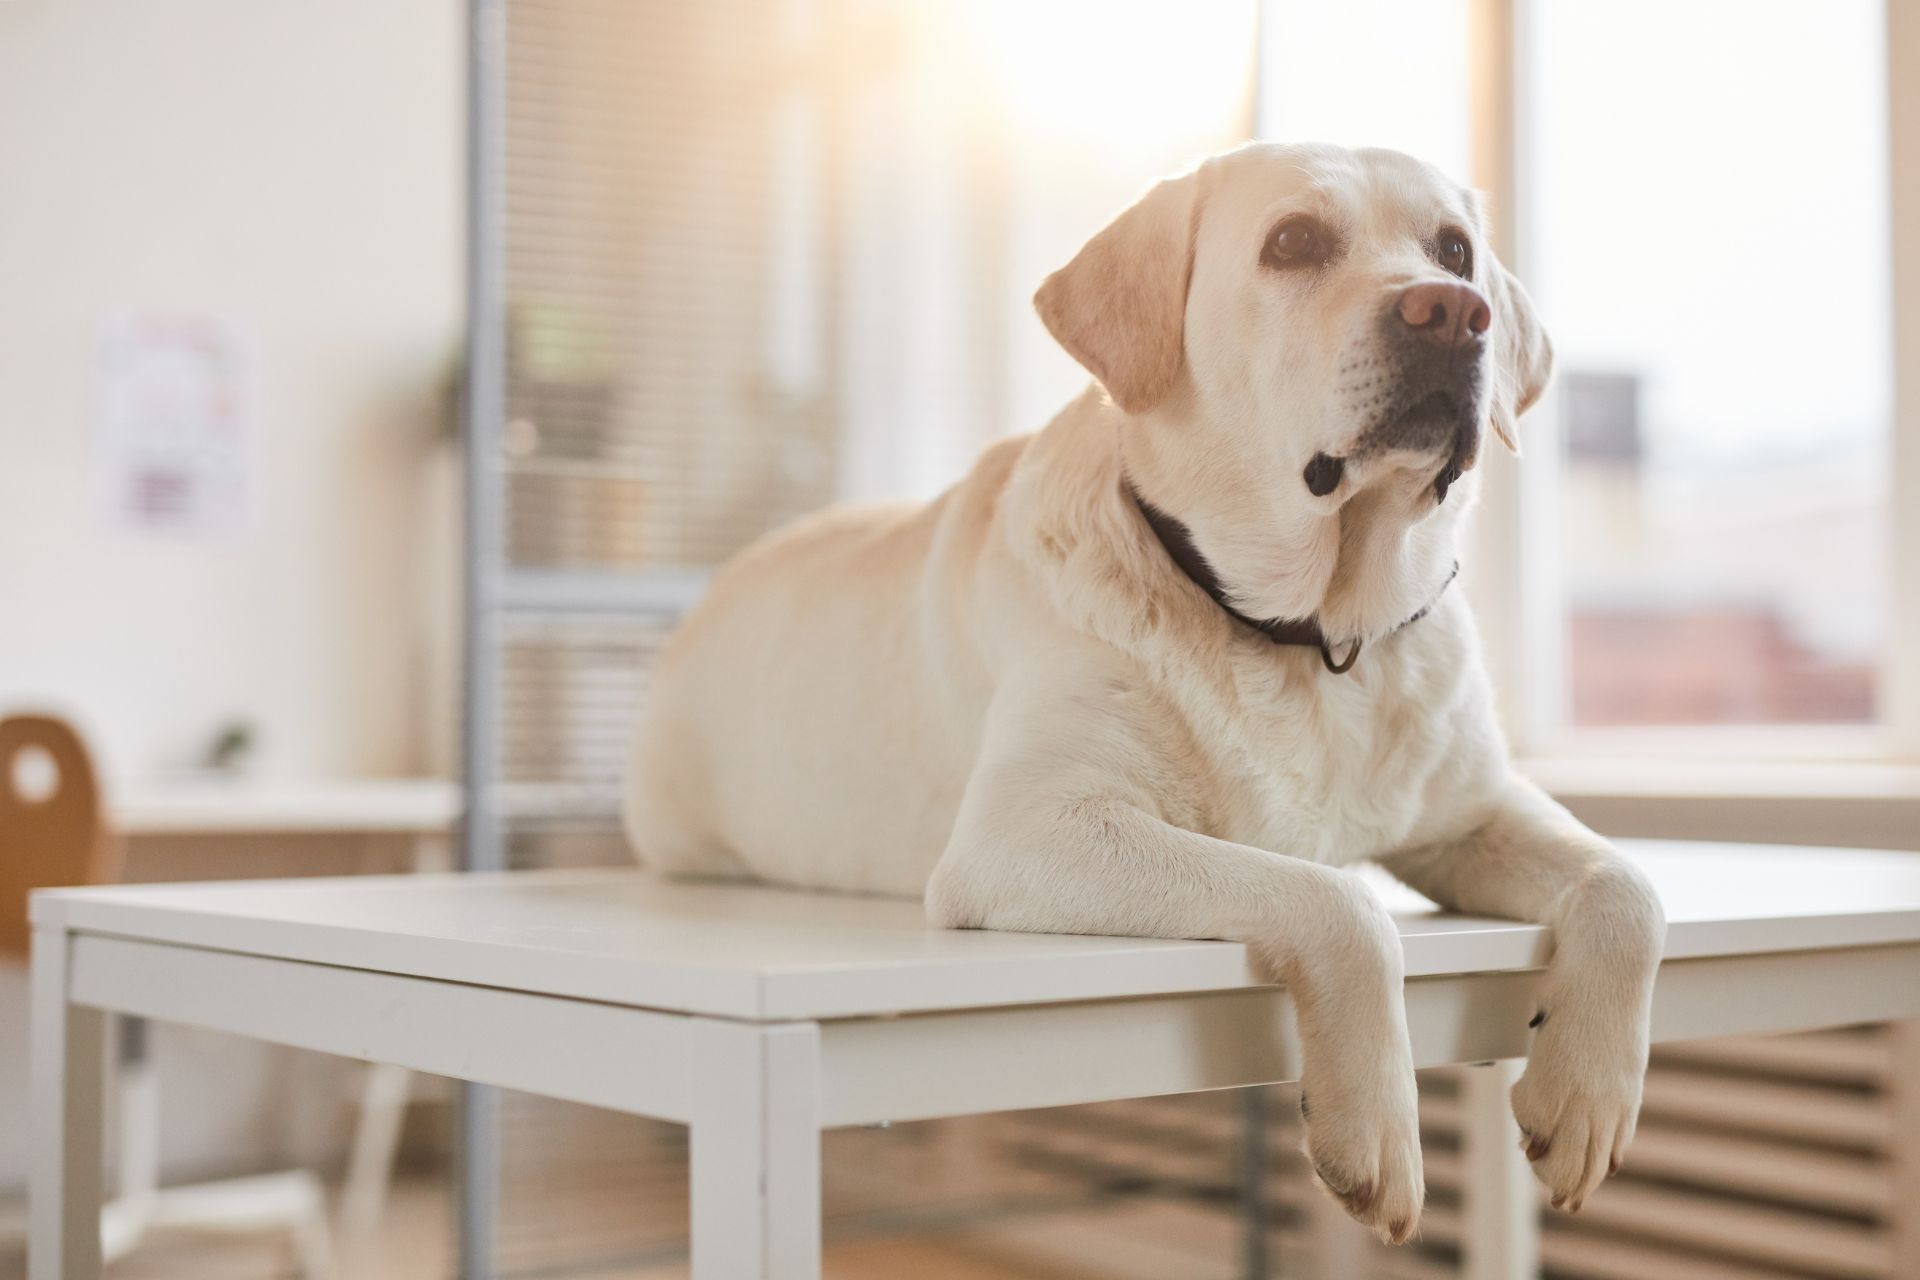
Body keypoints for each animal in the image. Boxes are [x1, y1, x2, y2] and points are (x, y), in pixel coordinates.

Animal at [625, 142, 1666, 1243]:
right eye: (1294, 240)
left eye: (1456, 251)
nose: (1453, 312)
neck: (1308, 633)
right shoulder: (1029, 833)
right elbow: (1336, 896)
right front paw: (1377, 1126)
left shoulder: (1472, 811)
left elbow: (1628, 884)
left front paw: (1589, 1097)